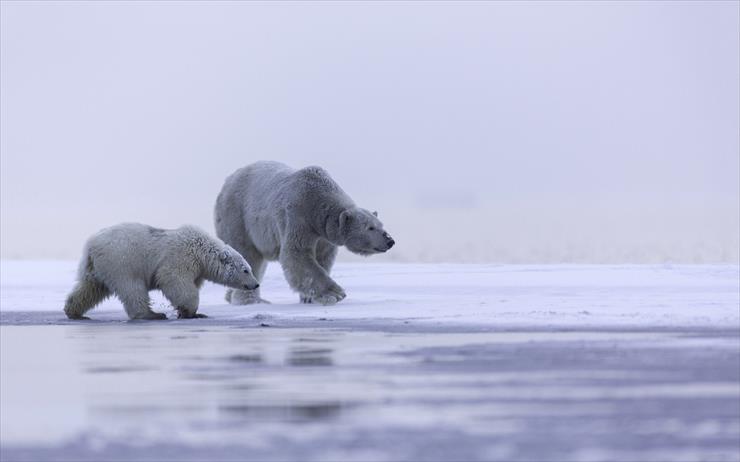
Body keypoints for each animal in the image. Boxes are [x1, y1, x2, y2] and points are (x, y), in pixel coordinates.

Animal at [64, 223, 260, 318]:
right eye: (246, 270)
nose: (256, 284)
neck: (201, 250)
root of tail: (91, 246)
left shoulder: (197, 269)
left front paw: (186, 311)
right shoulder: (180, 257)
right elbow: (174, 280)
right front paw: (192, 312)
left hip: (97, 268)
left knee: (89, 288)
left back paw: (73, 311)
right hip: (121, 262)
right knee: (132, 288)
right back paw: (152, 314)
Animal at [212, 161, 394, 304]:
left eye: (381, 225)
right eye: (370, 227)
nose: (390, 241)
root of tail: (227, 180)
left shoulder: (323, 235)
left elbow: (323, 258)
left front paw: (308, 298)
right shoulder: (299, 215)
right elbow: (297, 254)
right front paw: (335, 293)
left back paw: (231, 297)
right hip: (237, 216)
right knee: (247, 254)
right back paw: (250, 300)